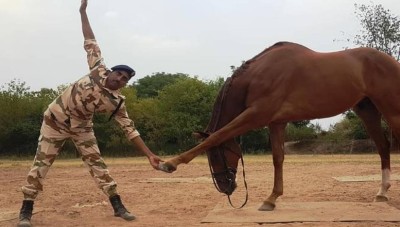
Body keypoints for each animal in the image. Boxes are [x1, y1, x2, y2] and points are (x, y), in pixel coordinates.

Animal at [158, 41, 398, 211]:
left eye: (216, 155)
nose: (226, 187)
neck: (258, 76)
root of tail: (391, 61)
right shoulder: (276, 123)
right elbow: (278, 158)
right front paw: (271, 199)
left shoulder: (256, 115)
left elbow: (217, 136)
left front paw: (169, 164)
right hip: (367, 111)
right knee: (383, 146)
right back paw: (381, 193)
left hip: (392, 110)